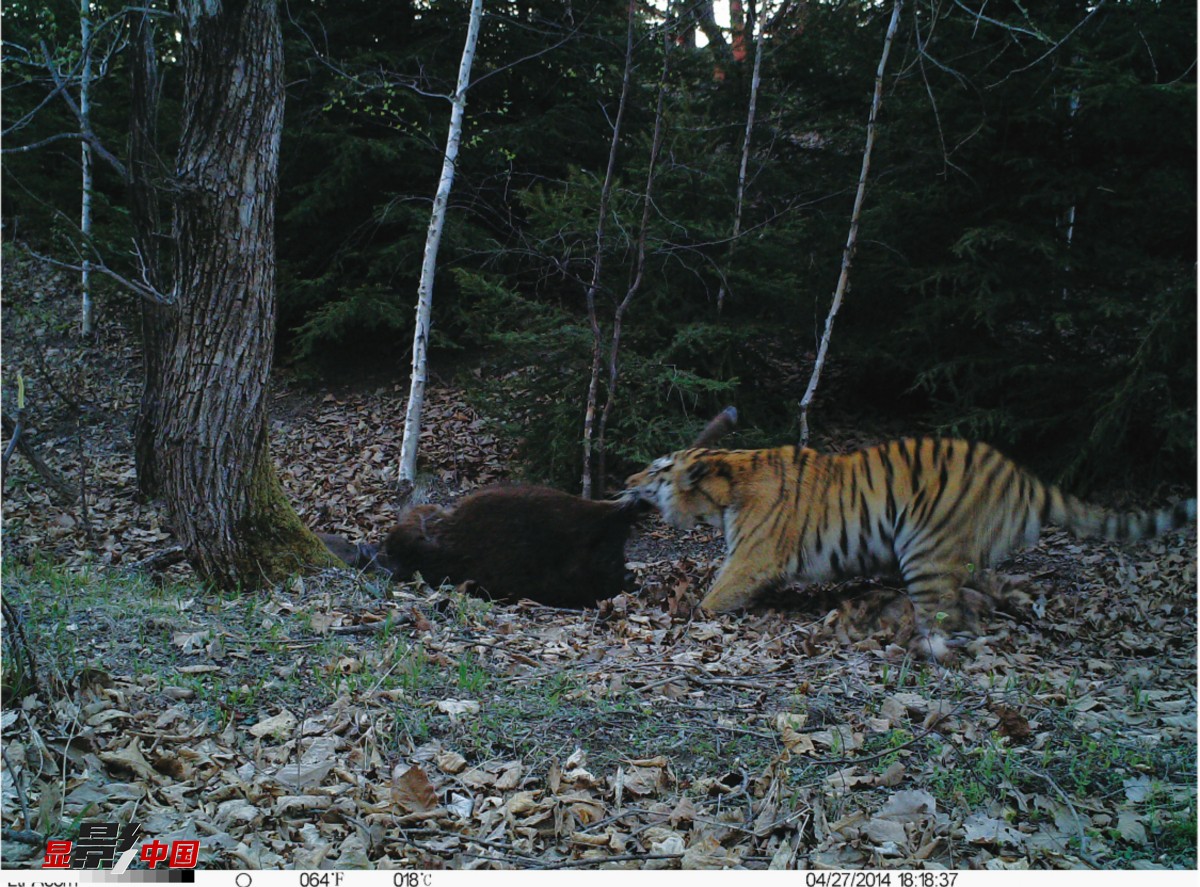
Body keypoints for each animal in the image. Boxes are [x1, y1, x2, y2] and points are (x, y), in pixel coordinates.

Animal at [624, 436, 1195, 657]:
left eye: (655, 470)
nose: (626, 479)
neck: (725, 482)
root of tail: (1022, 475)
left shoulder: (752, 559)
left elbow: (712, 598)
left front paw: (687, 613)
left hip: (925, 549)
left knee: (954, 620)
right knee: (989, 591)